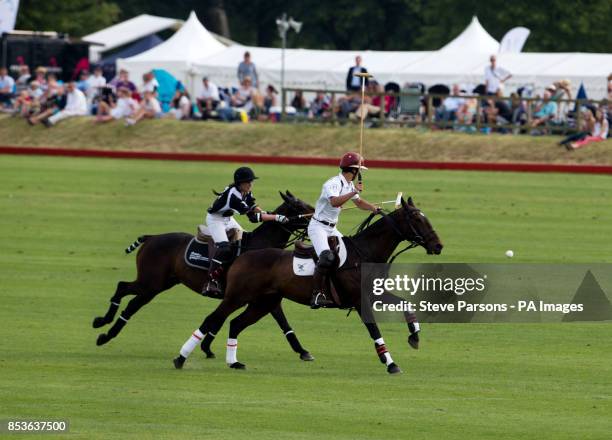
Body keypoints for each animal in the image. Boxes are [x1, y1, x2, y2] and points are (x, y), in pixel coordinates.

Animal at [95, 191, 316, 360]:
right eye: (300, 207)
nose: (318, 219)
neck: (260, 246)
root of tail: (151, 237)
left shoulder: (261, 295)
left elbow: (282, 323)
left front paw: (303, 351)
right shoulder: (248, 294)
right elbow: (221, 319)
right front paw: (206, 347)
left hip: (159, 285)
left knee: (133, 304)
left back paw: (107, 334)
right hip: (150, 281)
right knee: (122, 286)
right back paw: (102, 322)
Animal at [175, 199, 442, 374]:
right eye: (417, 219)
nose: (438, 246)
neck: (364, 254)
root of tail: (241, 255)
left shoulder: (374, 294)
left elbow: (405, 304)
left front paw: (415, 336)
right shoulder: (359, 300)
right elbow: (374, 331)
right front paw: (390, 363)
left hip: (263, 302)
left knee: (235, 323)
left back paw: (233, 362)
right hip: (237, 297)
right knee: (213, 319)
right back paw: (180, 358)